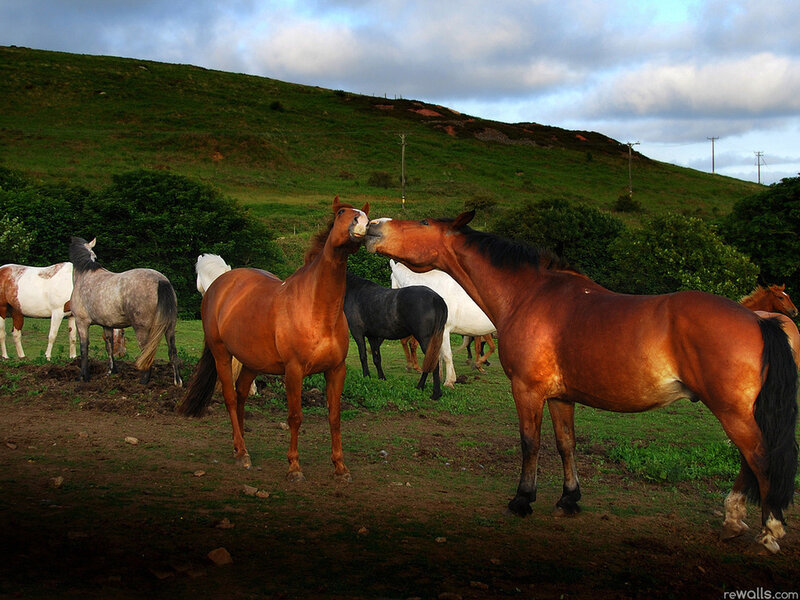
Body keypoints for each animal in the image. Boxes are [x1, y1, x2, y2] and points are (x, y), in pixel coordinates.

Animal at [68, 237, 182, 387]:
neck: (85, 275)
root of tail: (160, 280)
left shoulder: (81, 322)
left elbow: (84, 348)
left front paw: (83, 376)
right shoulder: (107, 325)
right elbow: (109, 346)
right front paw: (111, 371)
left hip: (142, 329)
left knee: (146, 352)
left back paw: (143, 381)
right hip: (170, 327)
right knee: (172, 351)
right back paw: (178, 381)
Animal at [179, 198, 370, 480]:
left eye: (366, 214)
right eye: (341, 213)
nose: (363, 224)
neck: (317, 308)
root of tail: (219, 284)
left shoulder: (336, 370)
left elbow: (334, 417)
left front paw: (340, 467)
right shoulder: (294, 371)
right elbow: (295, 417)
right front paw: (294, 467)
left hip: (252, 362)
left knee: (241, 395)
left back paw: (239, 446)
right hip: (221, 354)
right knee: (230, 398)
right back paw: (242, 453)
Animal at [390, 259, 496, 387]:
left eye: (391, 278)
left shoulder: (444, 331)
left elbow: (446, 355)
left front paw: (449, 381)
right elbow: (438, 355)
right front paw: (438, 378)